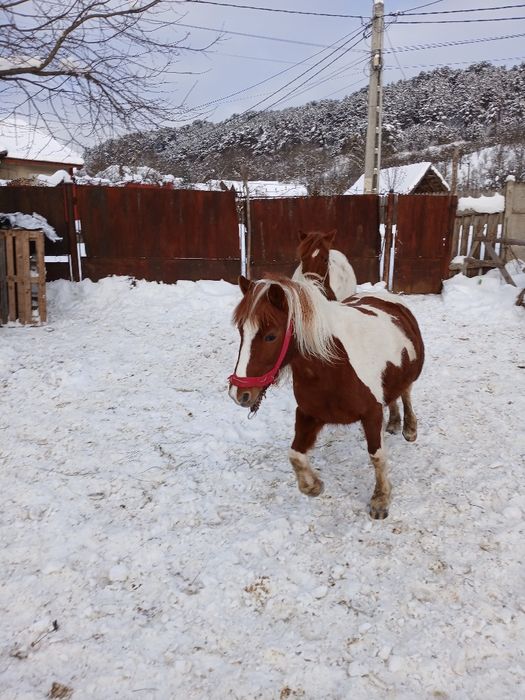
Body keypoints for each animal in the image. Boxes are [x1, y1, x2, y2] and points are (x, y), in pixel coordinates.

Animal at [228, 275, 424, 519]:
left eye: (271, 336)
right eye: (241, 331)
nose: (239, 394)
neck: (333, 365)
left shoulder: (372, 414)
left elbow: (377, 457)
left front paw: (381, 500)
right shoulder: (308, 414)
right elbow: (295, 455)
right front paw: (313, 486)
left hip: (410, 374)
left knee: (406, 392)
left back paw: (409, 428)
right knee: (393, 396)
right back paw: (395, 422)